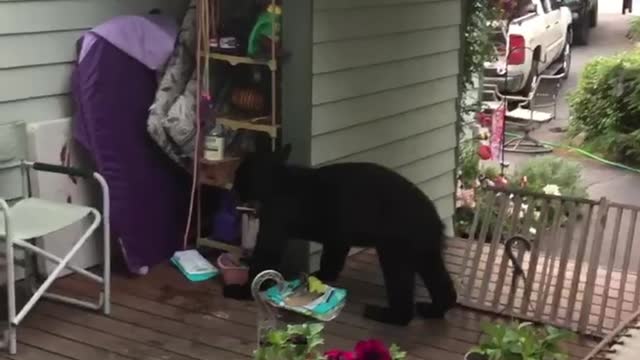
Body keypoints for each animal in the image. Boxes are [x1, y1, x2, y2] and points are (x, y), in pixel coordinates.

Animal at [222, 144, 458, 326]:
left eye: (239, 174)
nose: (234, 188)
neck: (277, 180)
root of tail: (433, 216)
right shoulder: (337, 235)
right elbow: (332, 257)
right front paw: (320, 277)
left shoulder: (275, 221)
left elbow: (263, 259)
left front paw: (239, 290)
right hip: (424, 249)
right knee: (439, 279)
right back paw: (434, 308)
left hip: (395, 248)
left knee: (400, 283)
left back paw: (387, 315)